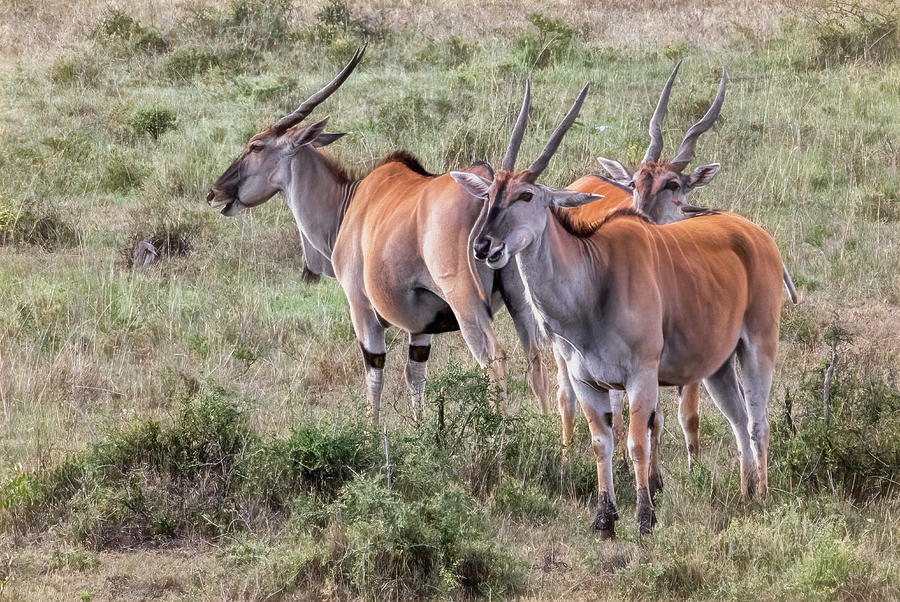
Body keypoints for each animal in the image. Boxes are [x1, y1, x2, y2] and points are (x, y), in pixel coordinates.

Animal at [208, 47, 552, 422]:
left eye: (256, 146)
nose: (214, 193)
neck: (348, 201)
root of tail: (489, 192)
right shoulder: (421, 329)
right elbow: (416, 376)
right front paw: (421, 430)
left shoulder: (362, 310)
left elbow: (375, 376)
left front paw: (372, 433)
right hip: (520, 302)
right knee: (537, 357)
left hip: (467, 305)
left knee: (494, 358)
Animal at [454, 79, 792, 536]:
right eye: (489, 194)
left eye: (526, 194)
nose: (483, 245)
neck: (593, 281)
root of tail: (757, 234)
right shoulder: (588, 381)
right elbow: (603, 442)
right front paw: (604, 518)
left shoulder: (642, 376)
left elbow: (636, 441)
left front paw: (645, 516)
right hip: (718, 367)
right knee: (738, 420)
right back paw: (745, 494)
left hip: (758, 347)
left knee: (758, 420)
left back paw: (763, 495)